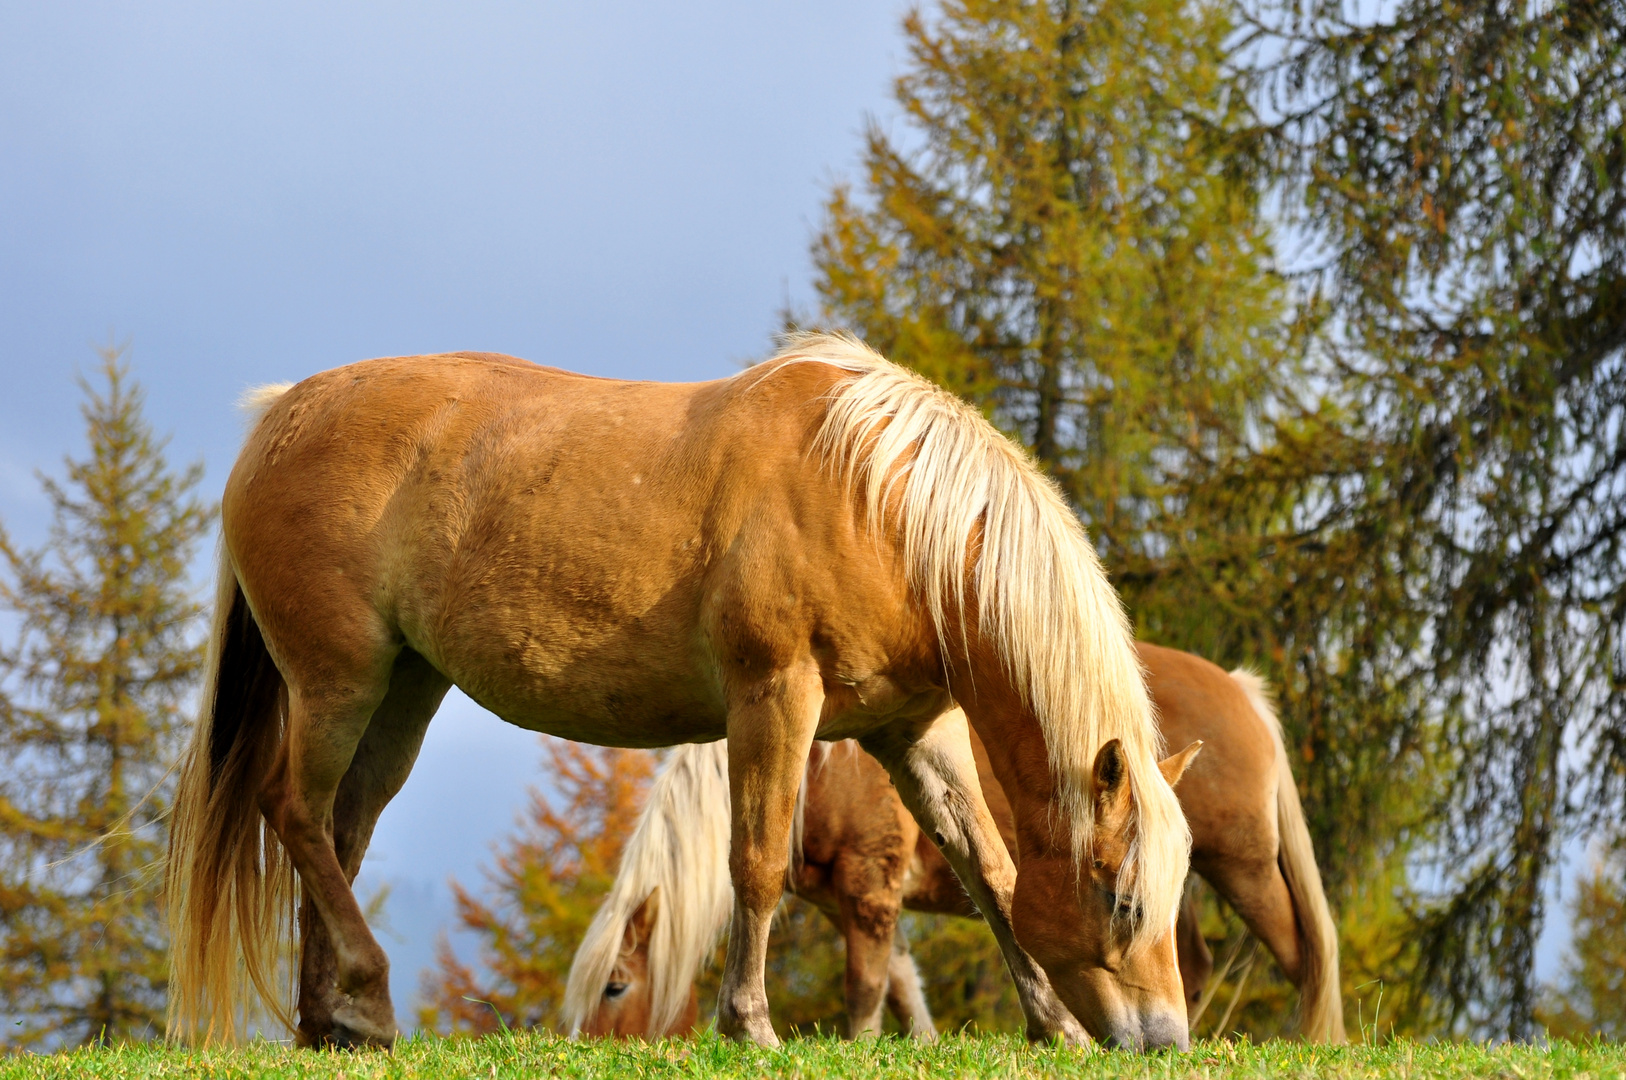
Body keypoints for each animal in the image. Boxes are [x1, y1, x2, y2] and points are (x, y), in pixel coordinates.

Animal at [165, 335, 1196, 1047]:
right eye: (1124, 901)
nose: (1164, 1041)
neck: (880, 502)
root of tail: (282, 416)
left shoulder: (916, 734)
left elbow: (993, 871)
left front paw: (1053, 1025)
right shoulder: (775, 698)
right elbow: (757, 862)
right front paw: (750, 1023)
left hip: (405, 692)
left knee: (341, 833)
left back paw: (329, 1023)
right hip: (336, 685)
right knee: (295, 814)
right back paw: (368, 1000)